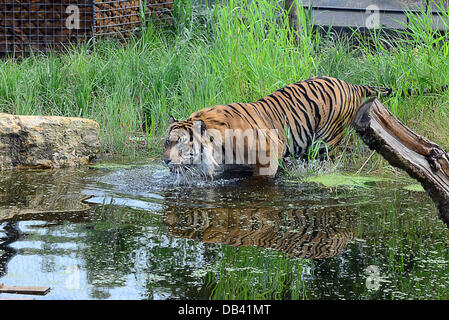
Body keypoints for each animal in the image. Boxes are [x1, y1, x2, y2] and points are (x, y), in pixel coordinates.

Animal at [163, 76, 390, 179]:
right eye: (167, 142)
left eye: (181, 144)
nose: (165, 161)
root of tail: (352, 85)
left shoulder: (269, 152)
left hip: (326, 142)